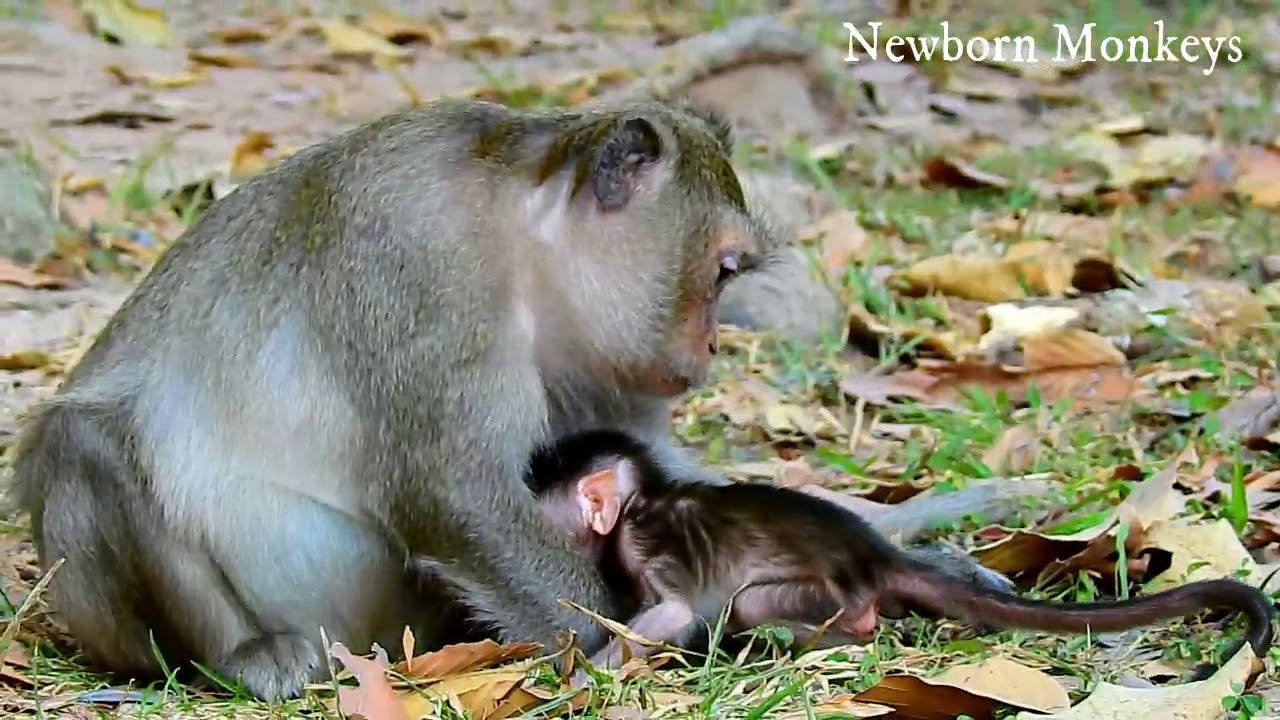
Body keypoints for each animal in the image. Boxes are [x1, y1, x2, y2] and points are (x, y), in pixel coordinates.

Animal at [519, 429, 1276, 682]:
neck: (639, 504)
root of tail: (876, 556)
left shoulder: (648, 543)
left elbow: (673, 611)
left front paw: (576, 678)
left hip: (826, 593)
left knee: (762, 603)